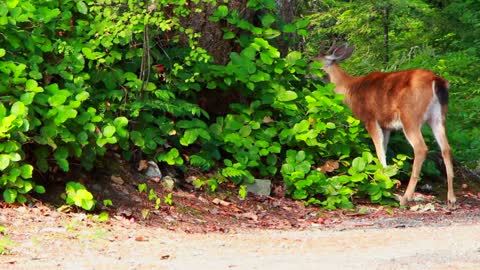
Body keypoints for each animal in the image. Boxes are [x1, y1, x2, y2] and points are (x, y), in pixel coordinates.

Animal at [314, 43, 456, 207]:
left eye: (312, 61)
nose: (306, 71)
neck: (350, 90)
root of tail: (437, 81)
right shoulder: (387, 125)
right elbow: (384, 148)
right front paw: (386, 179)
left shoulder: (370, 118)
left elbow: (379, 150)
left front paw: (383, 181)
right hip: (438, 117)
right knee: (446, 148)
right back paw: (451, 198)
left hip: (410, 116)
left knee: (421, 148)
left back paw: (406, 198)